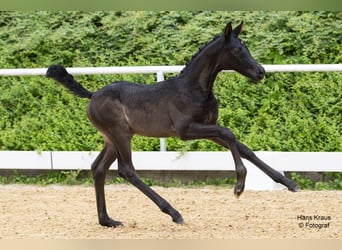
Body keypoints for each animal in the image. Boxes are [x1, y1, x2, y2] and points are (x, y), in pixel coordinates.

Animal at [46, 21, 300, 228]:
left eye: (246, 47)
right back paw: (173, 212)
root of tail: (92, 96)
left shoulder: (208, 127)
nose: (261, 72)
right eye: (237, 50)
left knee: (98, 168)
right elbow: (229, 133)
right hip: (120, 134)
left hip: (112, 138)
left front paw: (289, 183)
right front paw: (239, 186)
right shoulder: (186, 131)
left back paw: (107, 220)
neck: (192, 89)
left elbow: (243, 147)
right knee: (126, 170)